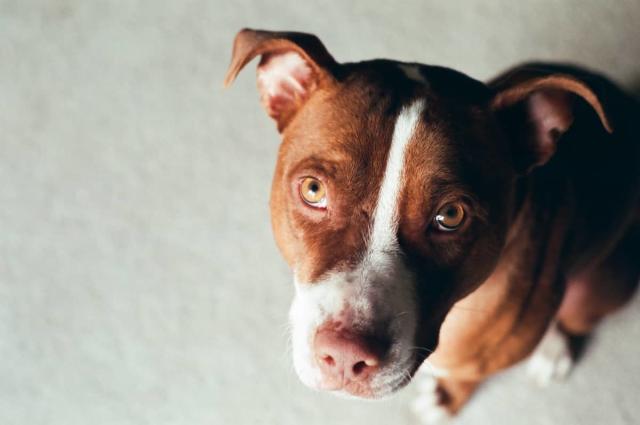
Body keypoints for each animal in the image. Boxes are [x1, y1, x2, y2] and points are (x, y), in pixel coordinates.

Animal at [224, 29, 640, 420]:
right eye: (313, 190)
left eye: (451, 215)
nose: (344, 355)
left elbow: (467, 377)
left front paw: (446, 399)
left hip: (605, 281)